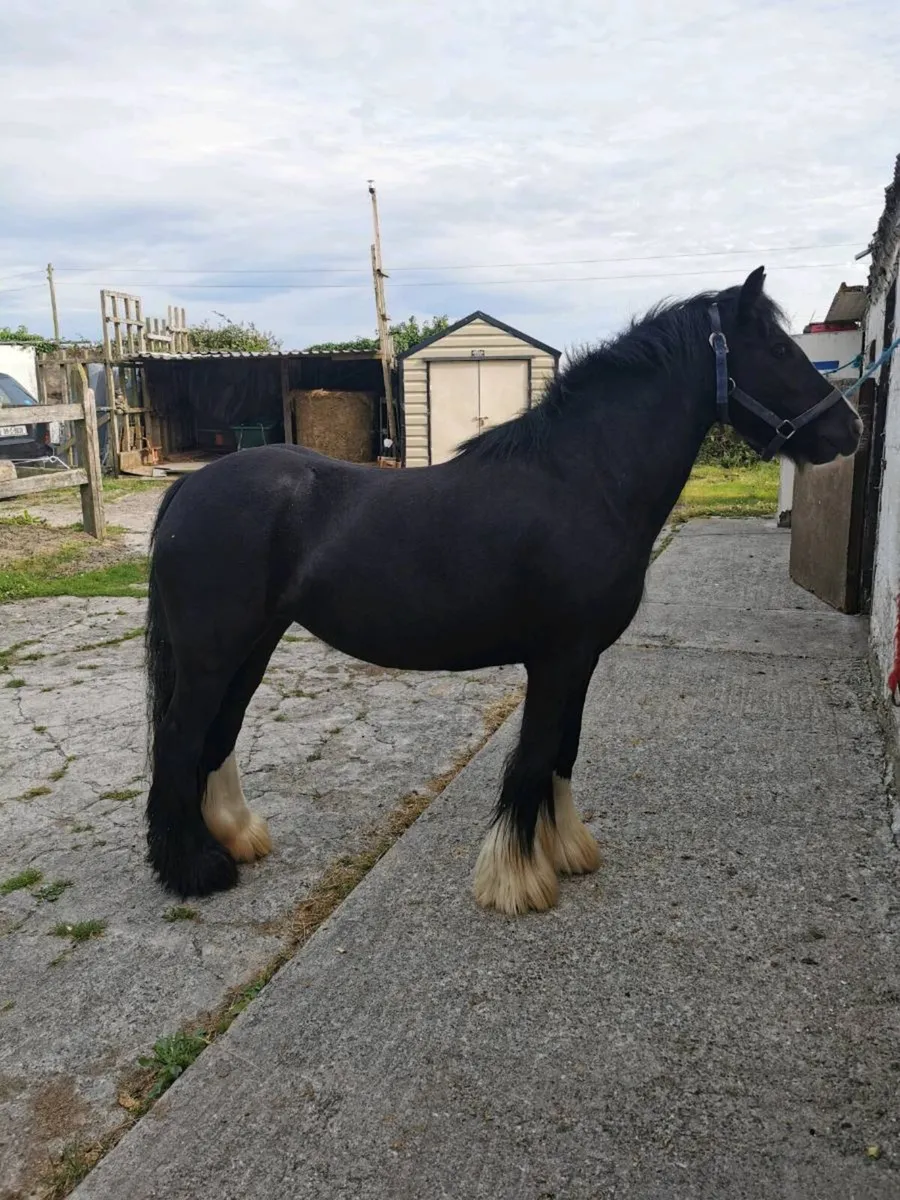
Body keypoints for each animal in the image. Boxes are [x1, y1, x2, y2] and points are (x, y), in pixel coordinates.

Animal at [144, 267, 862, 916]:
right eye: (779, 351)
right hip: (215, 651)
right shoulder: (557, 658)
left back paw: (235, 840)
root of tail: (192, 485)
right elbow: (536, 755)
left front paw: (567, 850)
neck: (583, 481)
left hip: (252, 645)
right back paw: (193, 870)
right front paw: (517, 881)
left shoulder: (581, 660)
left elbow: (564, 751)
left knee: (219, 732)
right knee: (179, 736)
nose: (849, 430)